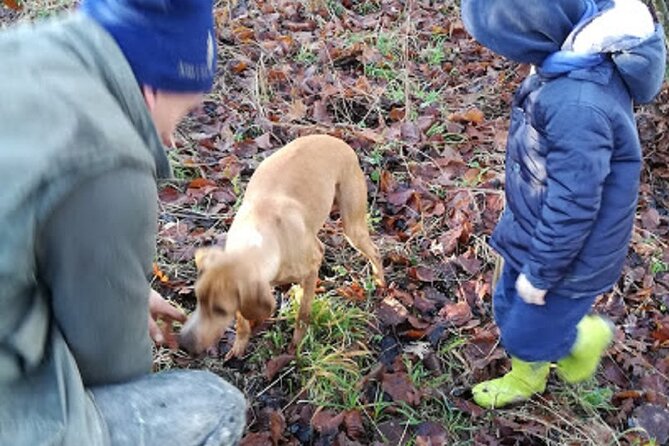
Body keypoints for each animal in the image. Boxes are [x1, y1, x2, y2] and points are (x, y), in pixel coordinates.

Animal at [180, 135, 384, 358]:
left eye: (220, 310)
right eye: (197, 298)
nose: (184, 343)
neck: (262, 236)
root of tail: (336, 139)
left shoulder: (311, 270)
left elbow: (303, 314)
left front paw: (296, 346)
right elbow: (242, 319)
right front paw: (239, 345)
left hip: (352, 227)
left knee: (375, 252)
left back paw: (380, 283)